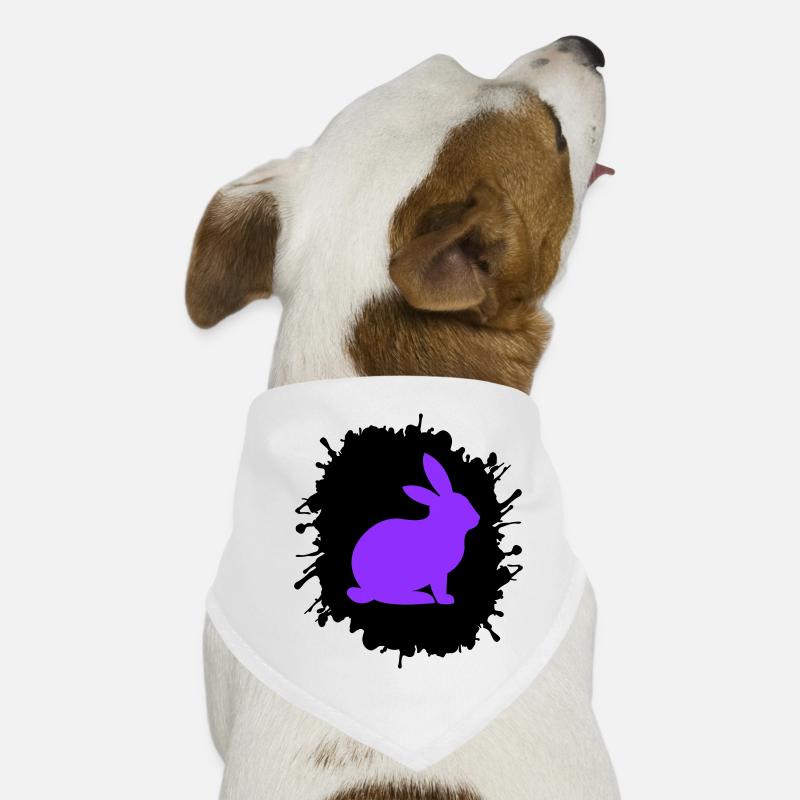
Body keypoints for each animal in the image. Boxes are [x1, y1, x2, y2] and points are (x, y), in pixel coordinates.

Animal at [347, 453, 480, 605]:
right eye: (458, 507)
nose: (477, 518)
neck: (442, 527)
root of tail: (366, 590)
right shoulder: (438, 573)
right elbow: (439, 587)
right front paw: (445, 600)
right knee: (388, 596)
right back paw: (421, 597)